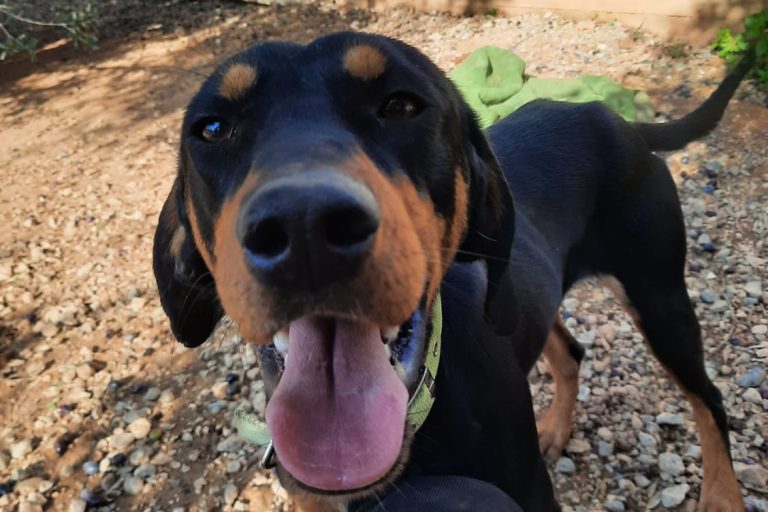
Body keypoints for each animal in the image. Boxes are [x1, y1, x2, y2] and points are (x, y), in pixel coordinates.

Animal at [153, 32, 754, 511]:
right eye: (212, 128)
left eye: (401, 105)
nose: (303, 226)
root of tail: (622, 123)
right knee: (569, 351)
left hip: (658, 296)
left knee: (710, 399)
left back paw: (722, 496)